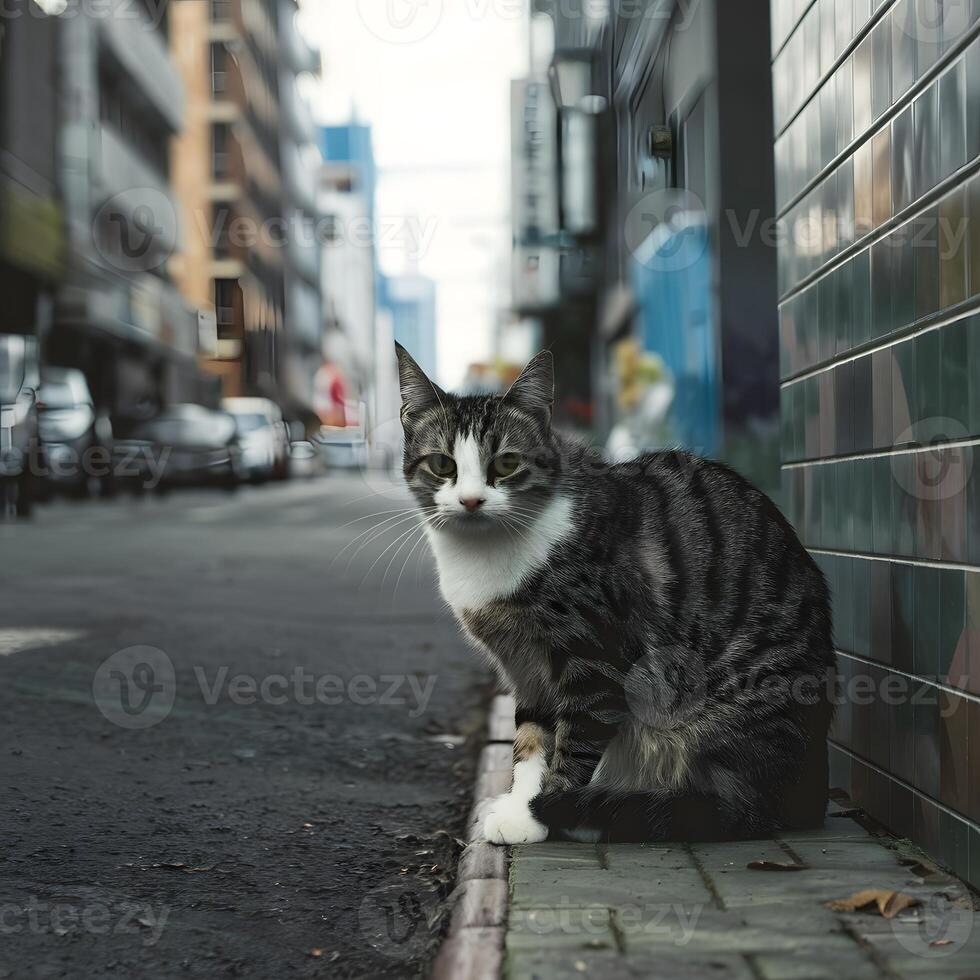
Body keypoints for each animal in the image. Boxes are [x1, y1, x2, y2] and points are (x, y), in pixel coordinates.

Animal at [398, 342, 836, 844]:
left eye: (506, 464)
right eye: (442, 464)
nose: (471, 501)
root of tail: (810, 796)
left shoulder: (593, 655)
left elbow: (576, 737)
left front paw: (542, 812)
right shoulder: (523, 664)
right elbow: (531, 735)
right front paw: (517, 806)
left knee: (734, 808)